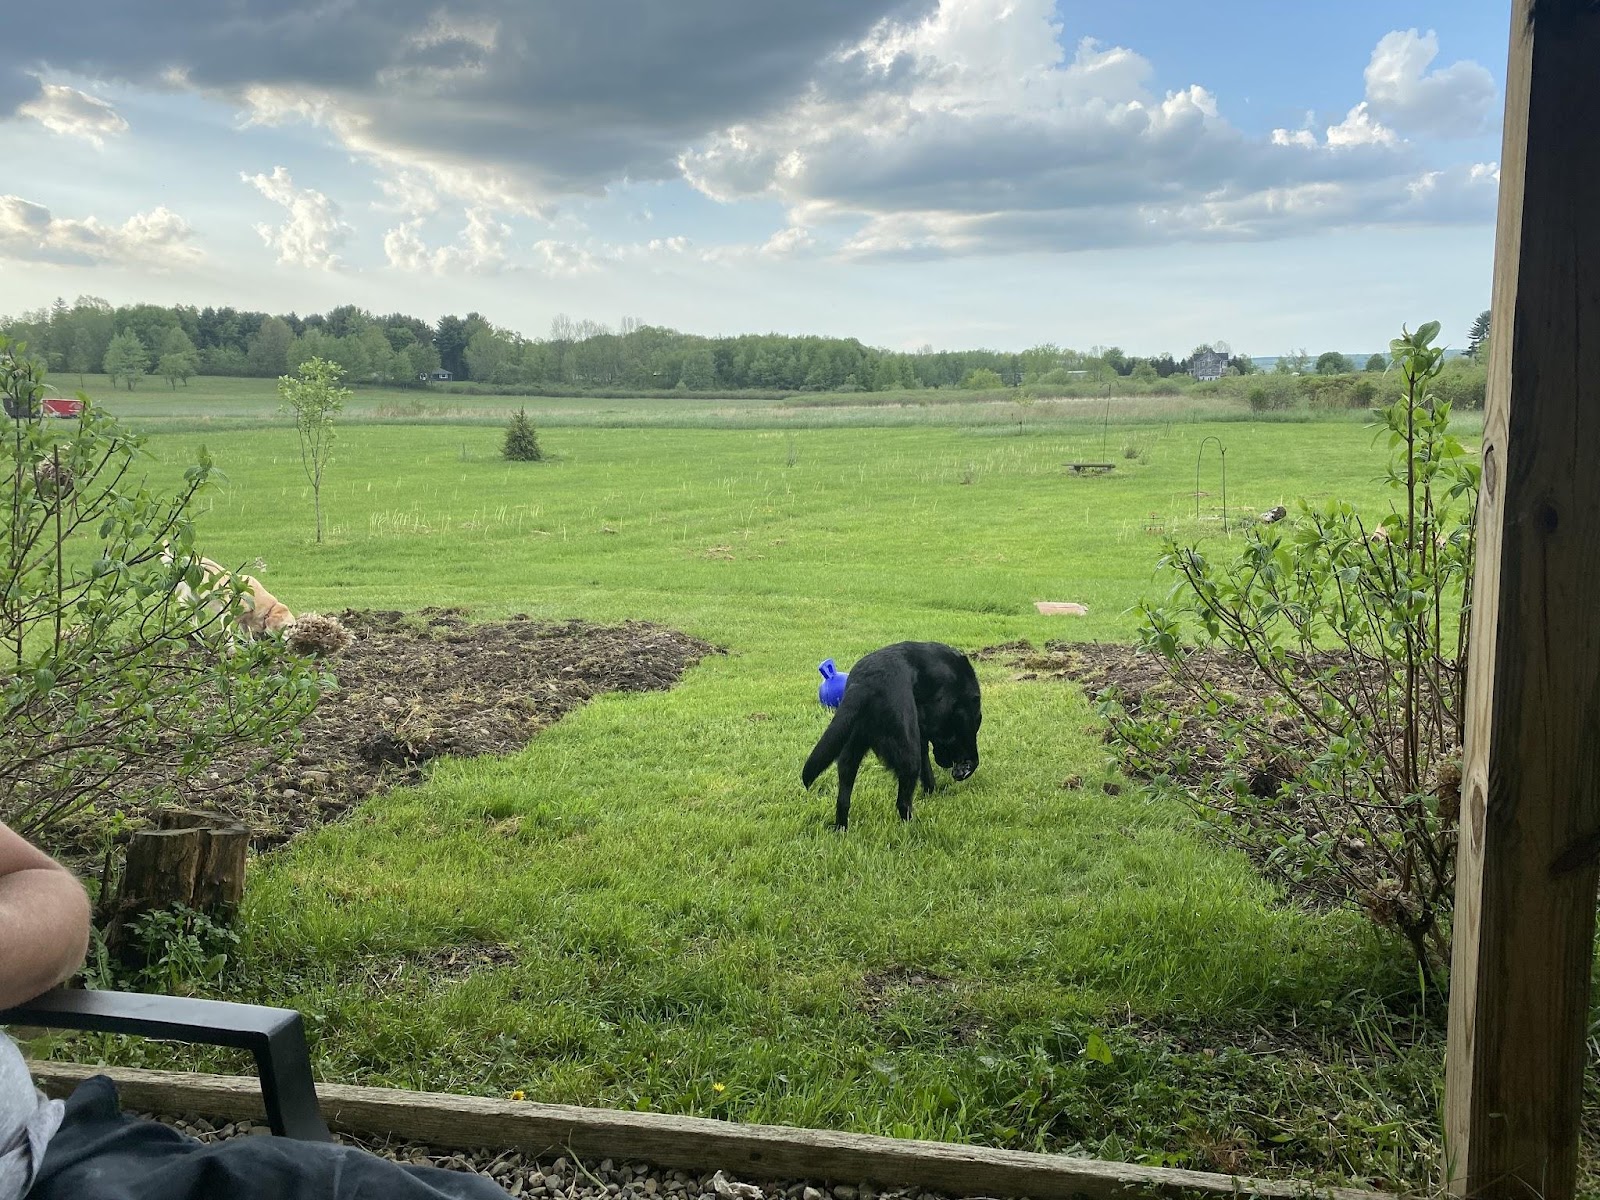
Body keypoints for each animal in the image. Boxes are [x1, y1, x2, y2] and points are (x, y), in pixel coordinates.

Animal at [161, 544, 296, 638]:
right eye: (290, 626)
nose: (294, 639)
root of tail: (182, 559)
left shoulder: (243, 622)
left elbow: (249, 637)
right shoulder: (226, 615)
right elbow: (228, 634)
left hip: (198, 603)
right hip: (187, 596)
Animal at [801, 641, 982, 829]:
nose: (948, 764)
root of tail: (865, 683)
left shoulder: (922, 735)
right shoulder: (962, 719)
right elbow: (970, 750)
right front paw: (965, 768)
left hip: (851, 749)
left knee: (843, 799)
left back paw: (841, 828)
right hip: (909, 755)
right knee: (903, 802)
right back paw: (914, 828)